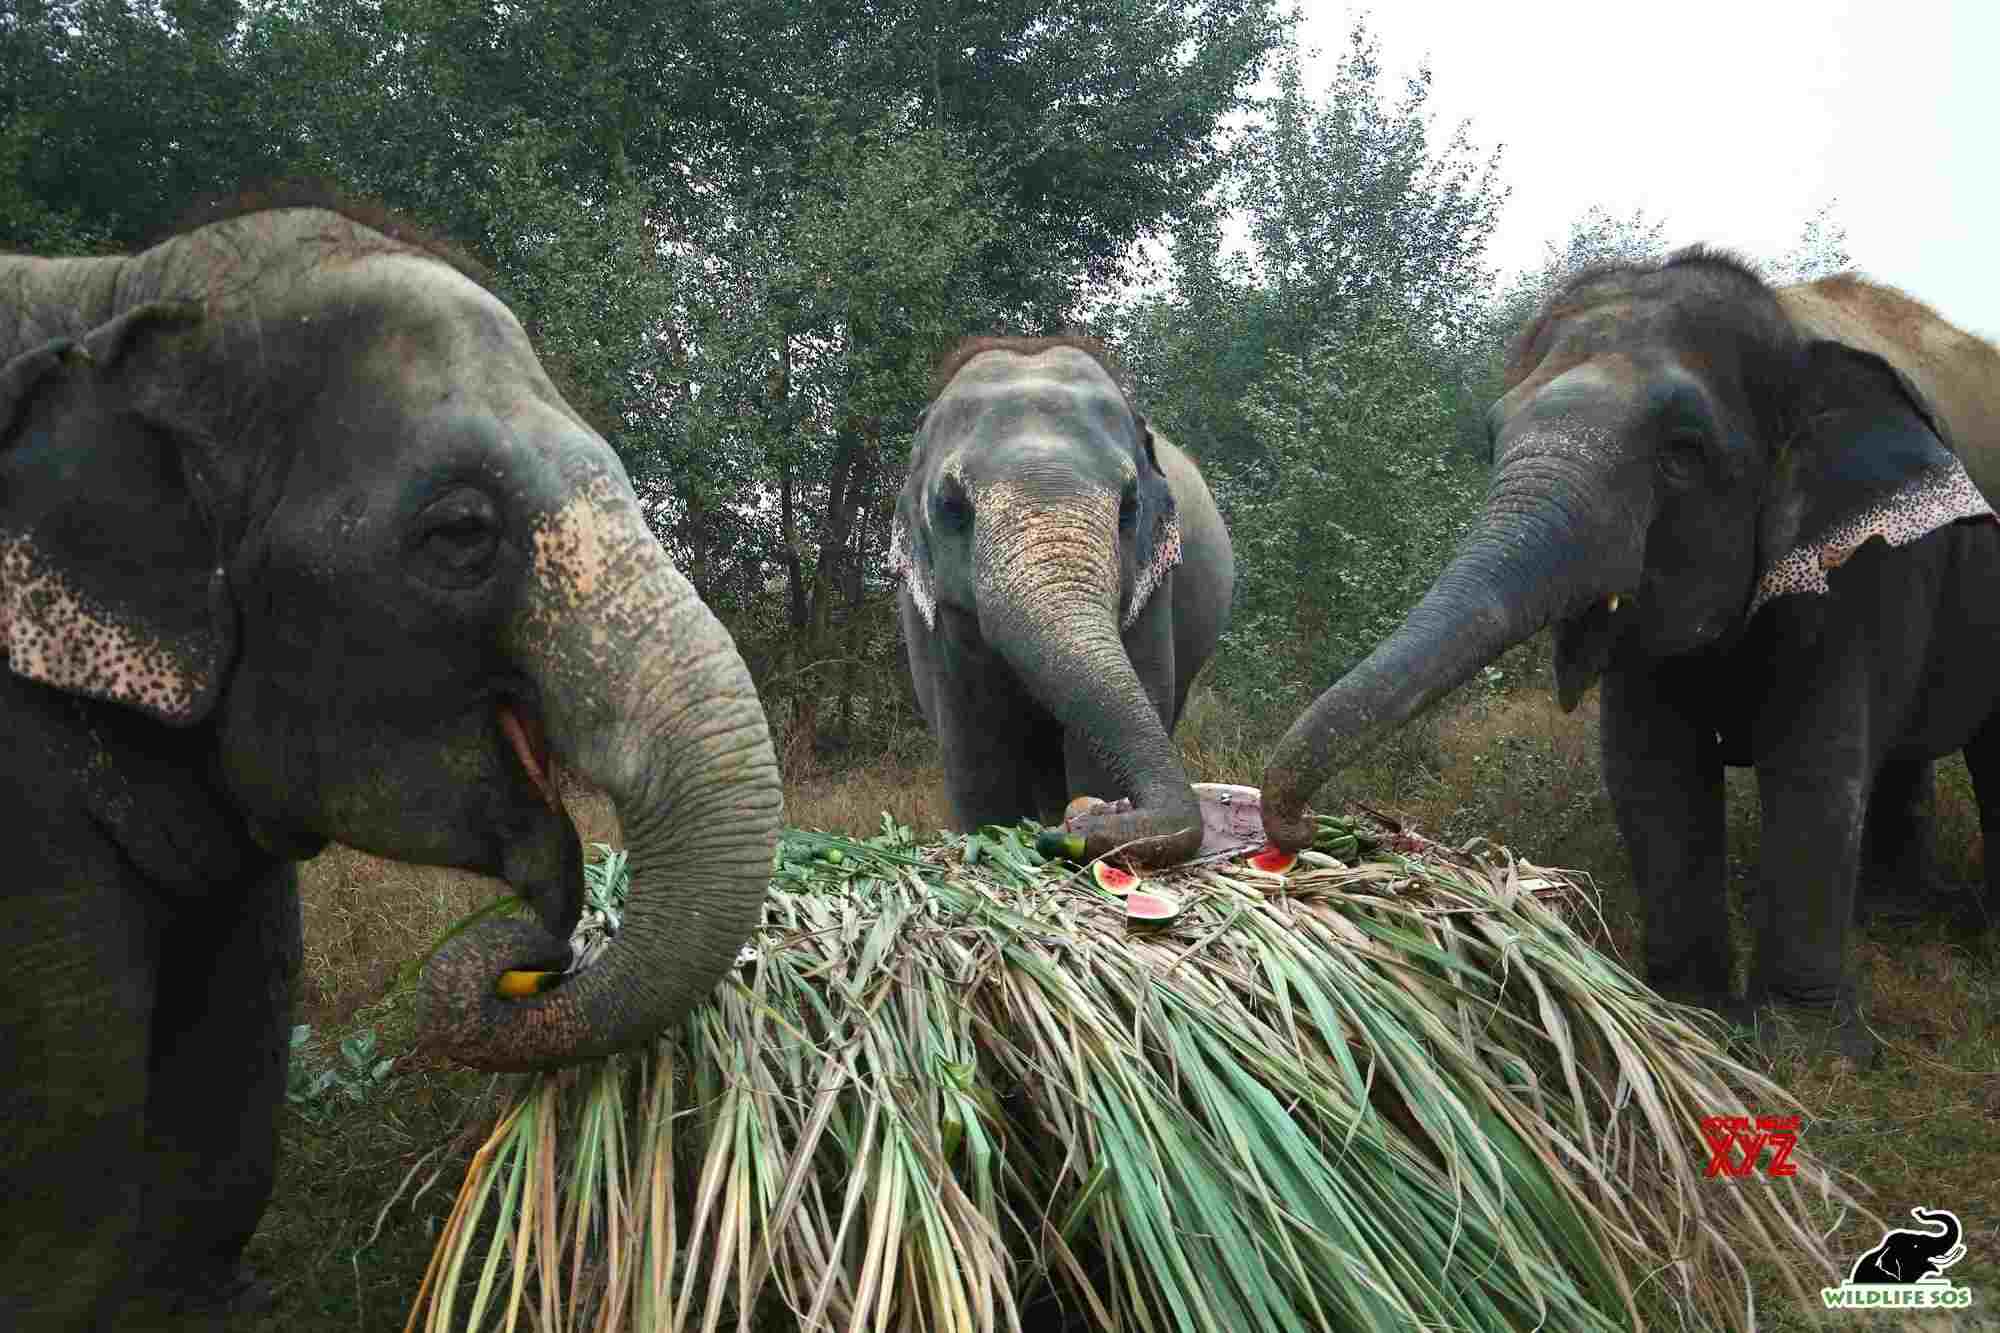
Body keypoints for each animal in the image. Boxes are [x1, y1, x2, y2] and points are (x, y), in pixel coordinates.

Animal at [890, 335, 1234, 865]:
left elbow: (1095, 754)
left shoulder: (1155, 593)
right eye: (950, 506)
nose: (1081, 824)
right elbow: (977, 754)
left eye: (1130, 507)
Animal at [1257, 249, 2000, 1065]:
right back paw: (1892, 917)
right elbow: (1650, 766)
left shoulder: (1861, 563)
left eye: (1682, 455)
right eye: (1491, 437)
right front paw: (1691, 1014)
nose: (1305, 834)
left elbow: (1815, 763)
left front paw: (1806, 1053)